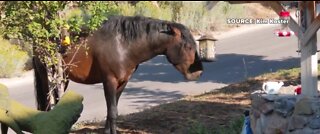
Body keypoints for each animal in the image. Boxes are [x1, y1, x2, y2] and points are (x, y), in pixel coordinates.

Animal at [32, 15, 202, 133]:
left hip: (62, 78)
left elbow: (112, 110)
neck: (123, 45)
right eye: (188, 47)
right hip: (48, 78)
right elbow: (113, 111)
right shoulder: (110, 81)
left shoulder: (122, 82)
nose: (198, 72)